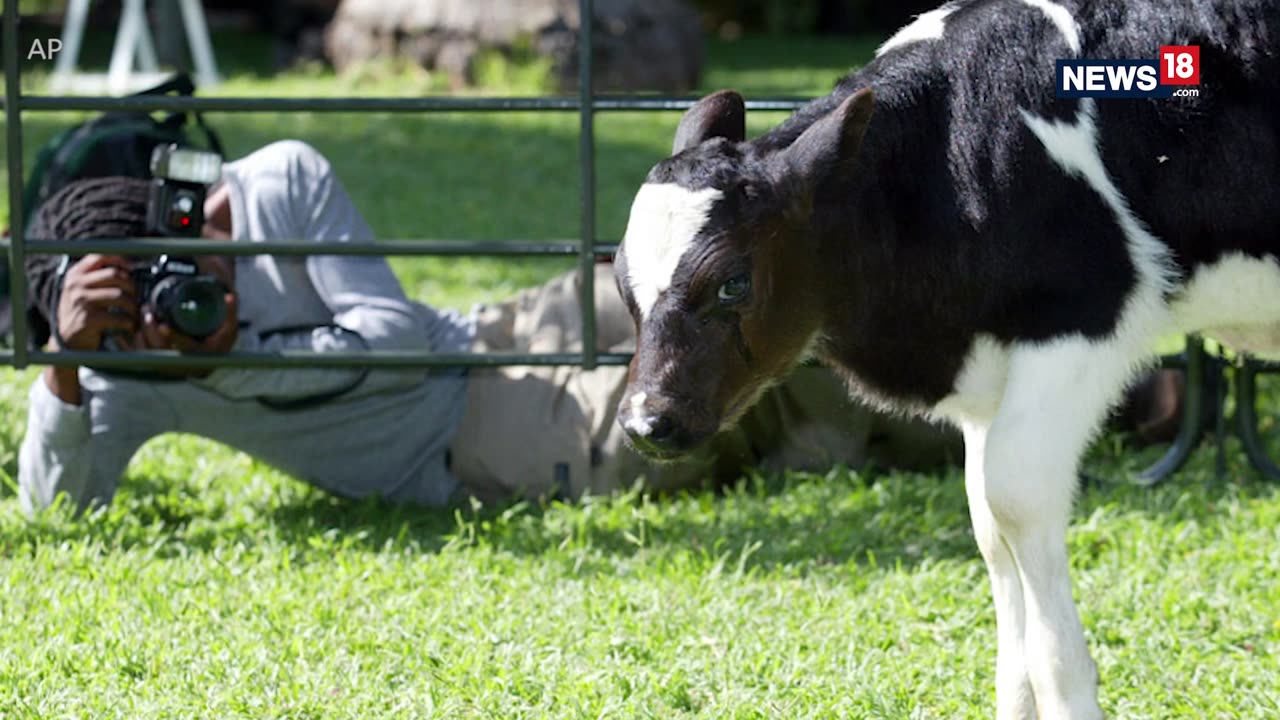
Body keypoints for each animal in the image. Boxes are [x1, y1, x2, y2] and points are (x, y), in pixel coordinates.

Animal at [609, 0, 1280, 712]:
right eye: (622, 281)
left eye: (733, 282)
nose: (645, 421)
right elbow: (988, 527)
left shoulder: (1075, 322)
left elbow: (1015, 504)